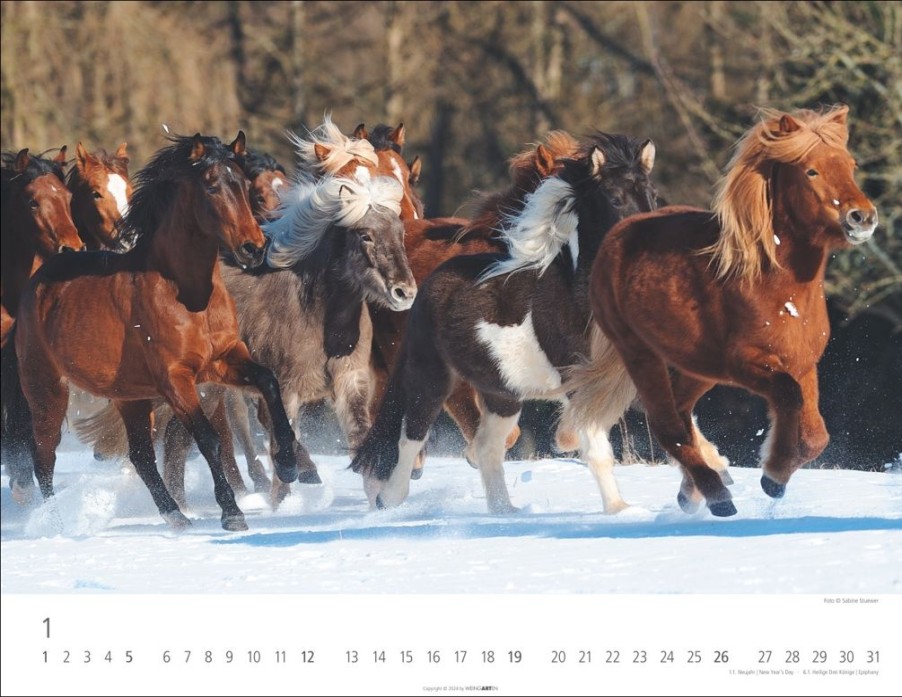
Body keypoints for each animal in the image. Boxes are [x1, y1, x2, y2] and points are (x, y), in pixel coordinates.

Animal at [6, 133, 308, 532]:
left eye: (244, 186)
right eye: (212, 186)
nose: (254, 248)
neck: (189, 294)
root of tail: (37, 282)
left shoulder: (224, 359)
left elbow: (269, 383)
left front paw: (288, 464)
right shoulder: (176, 379)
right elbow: (208, 439)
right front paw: (232, 513)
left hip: (128, 396)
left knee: (140, 456)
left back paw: (175, 515)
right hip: (47, 390)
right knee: (44, 457)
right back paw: (54, 522)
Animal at [352, 132, 656, 512]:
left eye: (652, 195)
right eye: (616, 198)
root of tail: (426, 283)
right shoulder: (574, 376)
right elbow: (597, 447)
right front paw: (618, 509)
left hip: (501, 394)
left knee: (487, 447)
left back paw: (504, 509)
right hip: (431, 375)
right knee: (411, 436)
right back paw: (389, 499)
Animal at [588, 104, 880, 516]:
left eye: (851, 165)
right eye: (811, 170)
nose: (862, 217)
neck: (775, 286)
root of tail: (616, 236)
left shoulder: (803, 363)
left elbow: (815, 436)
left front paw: (776, 477)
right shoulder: (747, 365)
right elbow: (789, 398)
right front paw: (772, 476)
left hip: (697, 367)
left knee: (680, 411)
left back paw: (692, 491)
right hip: (640, 353)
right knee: (666, 424)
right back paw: (716, 495)